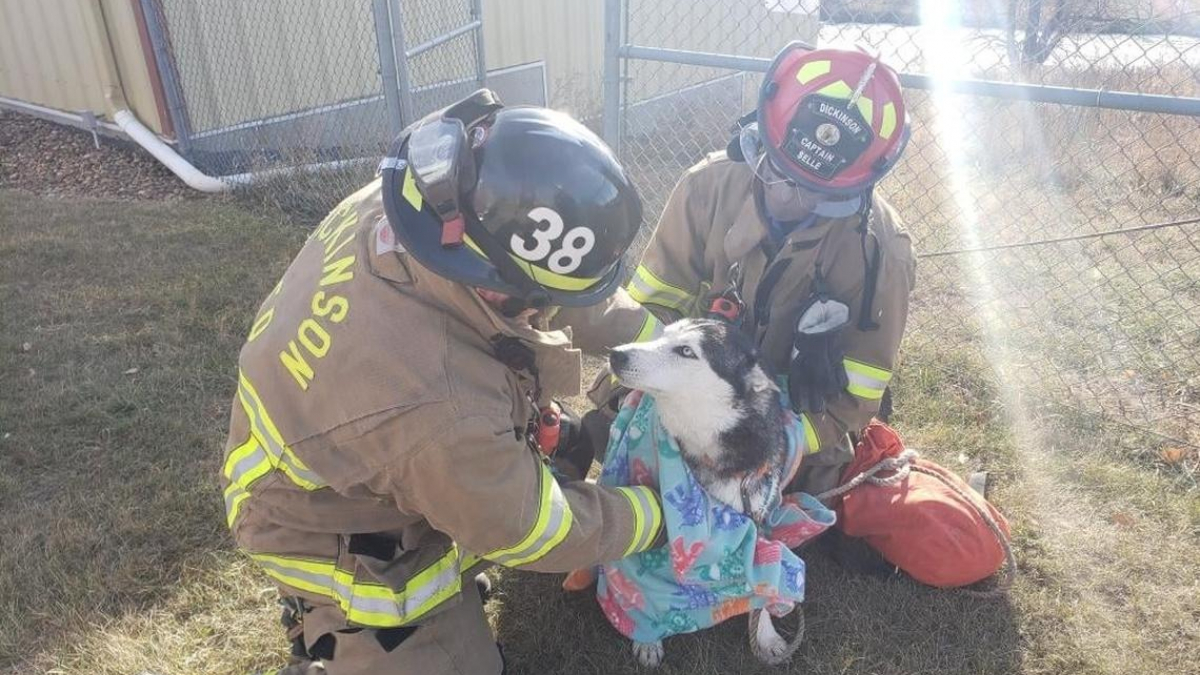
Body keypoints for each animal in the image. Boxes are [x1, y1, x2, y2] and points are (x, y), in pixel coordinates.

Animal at [609, 317, 796, 662]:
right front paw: (647, 639)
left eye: (686, 351)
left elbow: (764, 578)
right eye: (664, 334)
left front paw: (765, 635)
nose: (616, 354)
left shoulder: (758, 519)